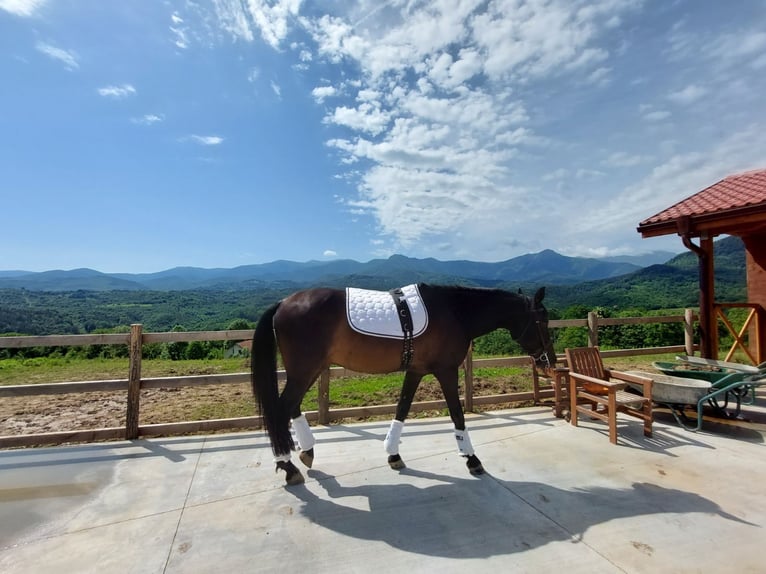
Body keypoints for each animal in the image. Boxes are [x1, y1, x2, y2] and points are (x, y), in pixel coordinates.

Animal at [251, 283, 555, 485]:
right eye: (542, 320)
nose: (549, 361)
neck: (455, 312)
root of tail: (283, 302)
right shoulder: (446, 371)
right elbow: (457, 414)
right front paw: (472, 459)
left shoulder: (416, 371)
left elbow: (402, 408)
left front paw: (393, 454)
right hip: (304, 370)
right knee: (281, 409)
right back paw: (288, 466)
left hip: (308, 370)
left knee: (291, 407)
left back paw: (305, 453)